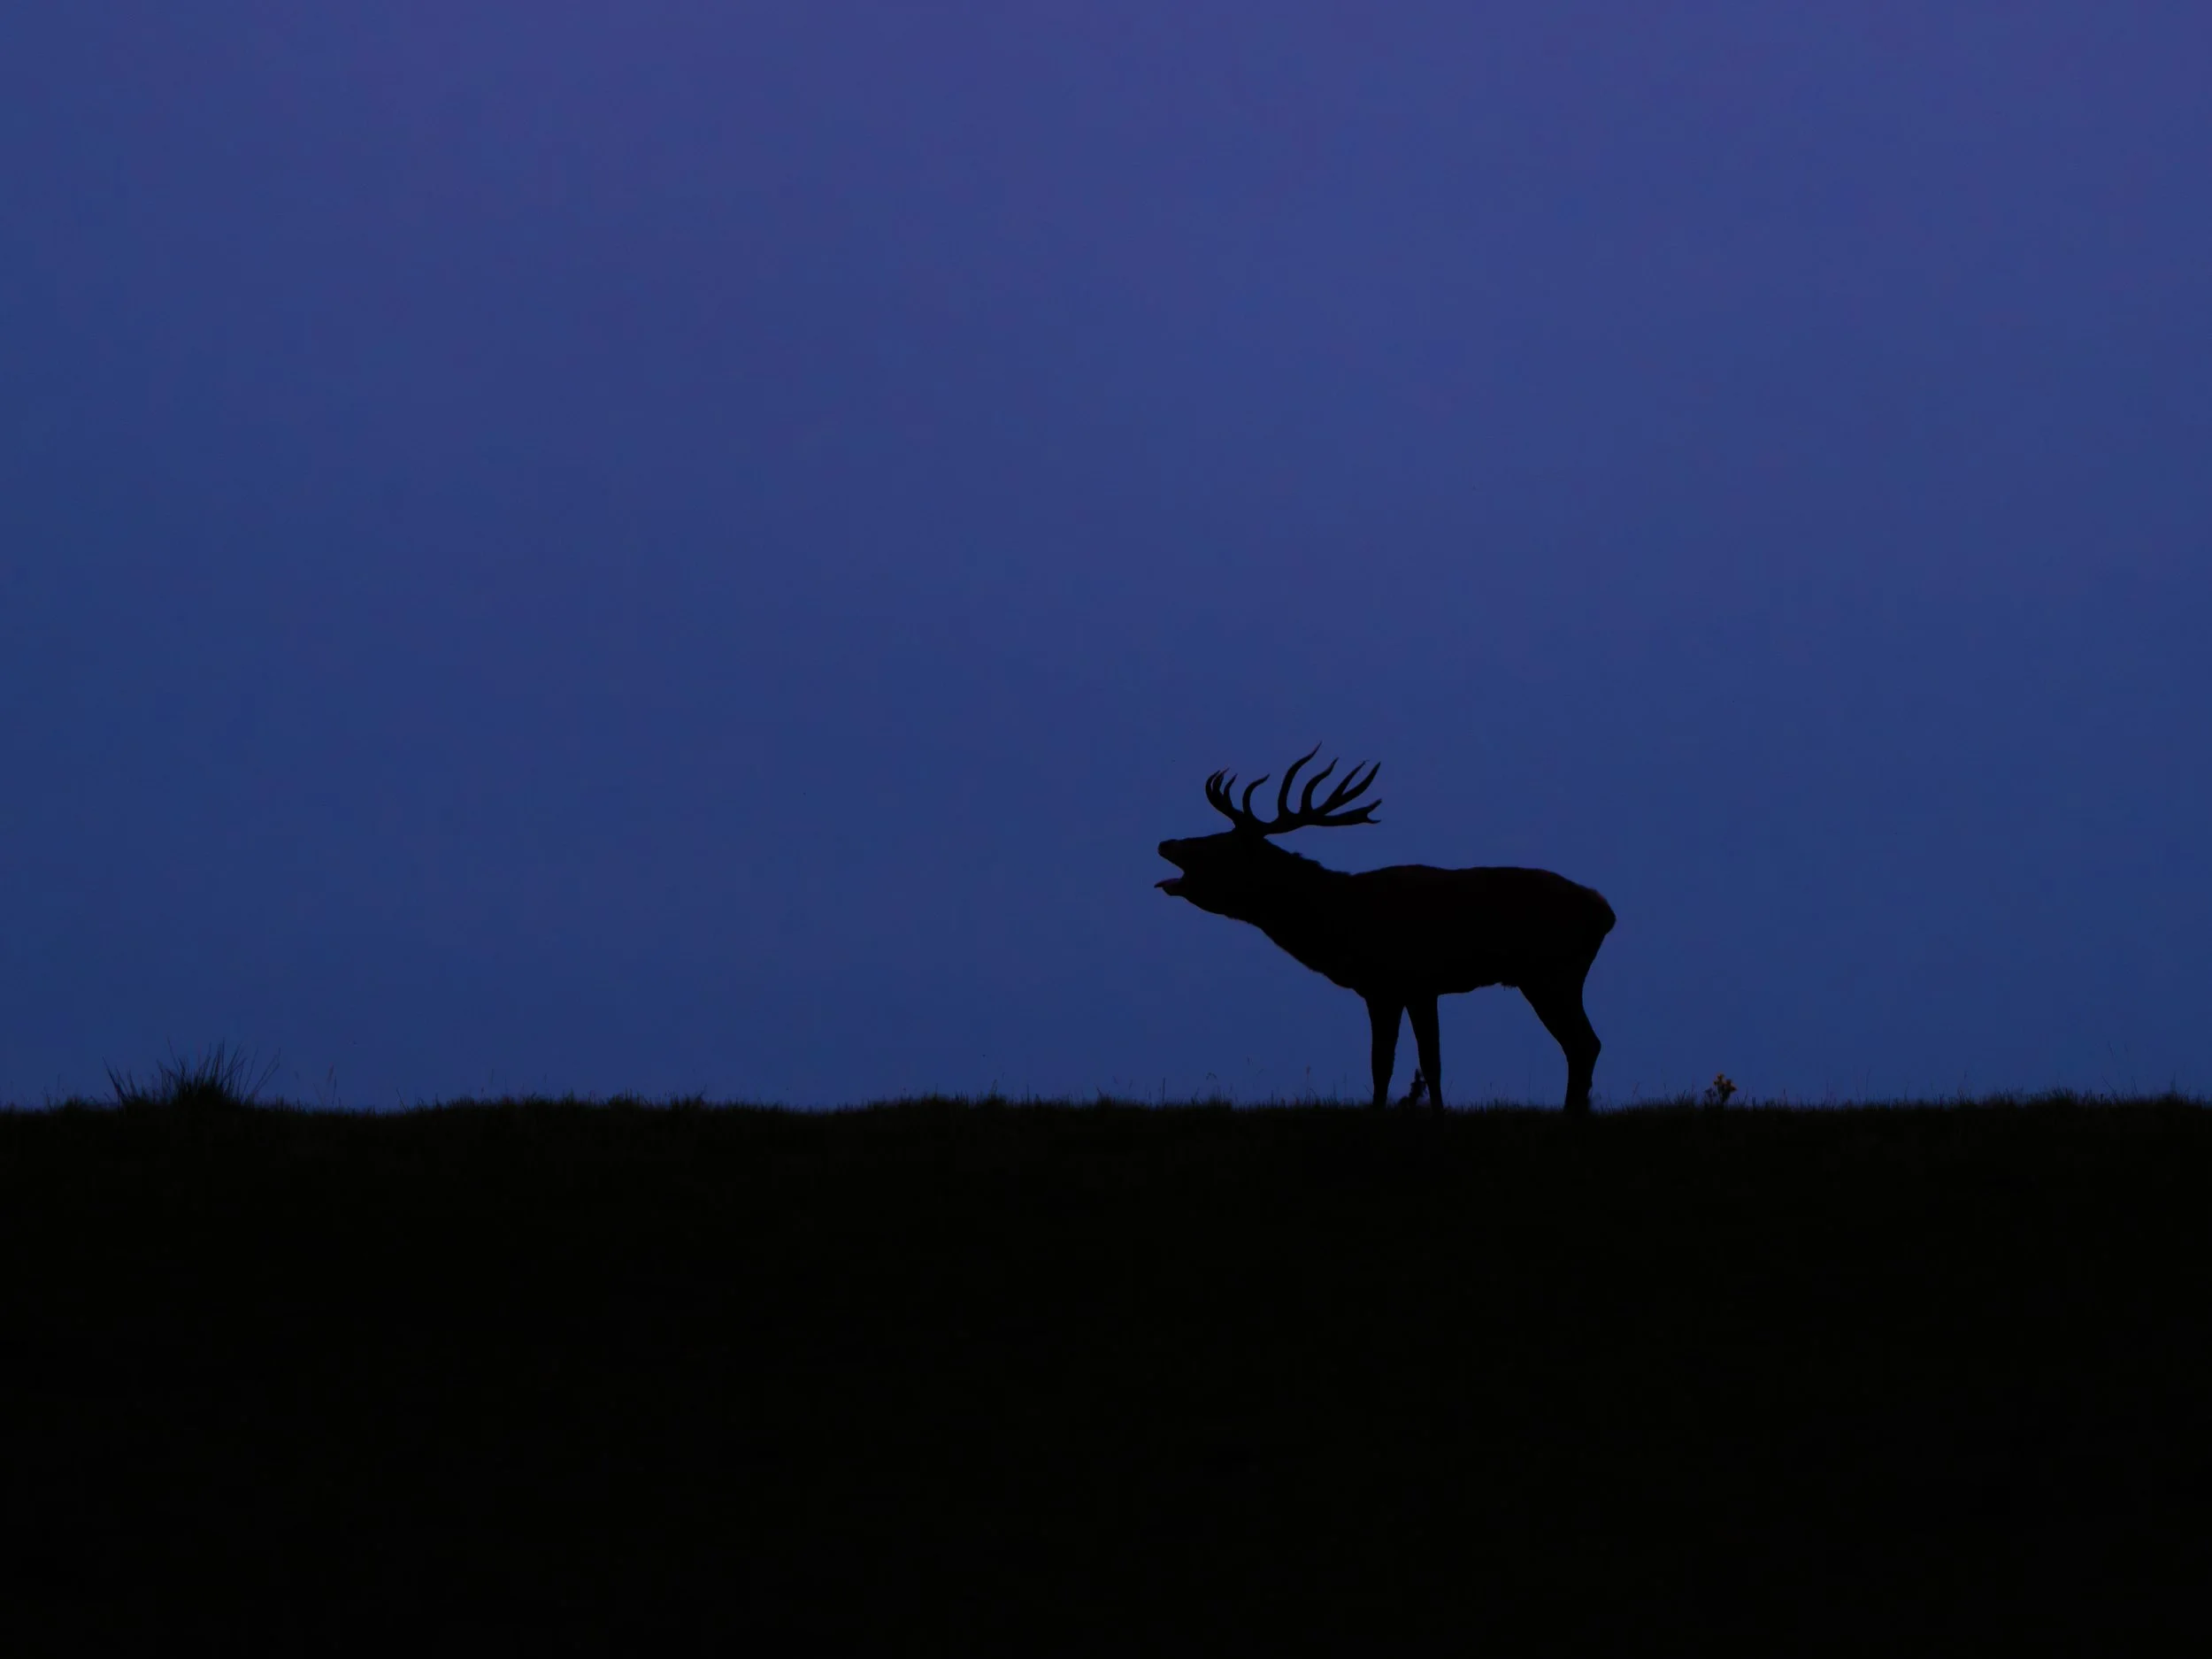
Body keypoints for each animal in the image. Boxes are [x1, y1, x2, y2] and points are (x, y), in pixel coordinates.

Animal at [1156, 747, 1615, 1113]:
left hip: (1551, 973)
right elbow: (1396, 1063)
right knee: (1584, 1044)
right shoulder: (1393, 989)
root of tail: (1606, 912)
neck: (1340, 923)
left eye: (1221, 844)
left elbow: (1412, 1061)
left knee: (1583, 1043)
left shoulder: (1408, 981)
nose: (1167, 843)